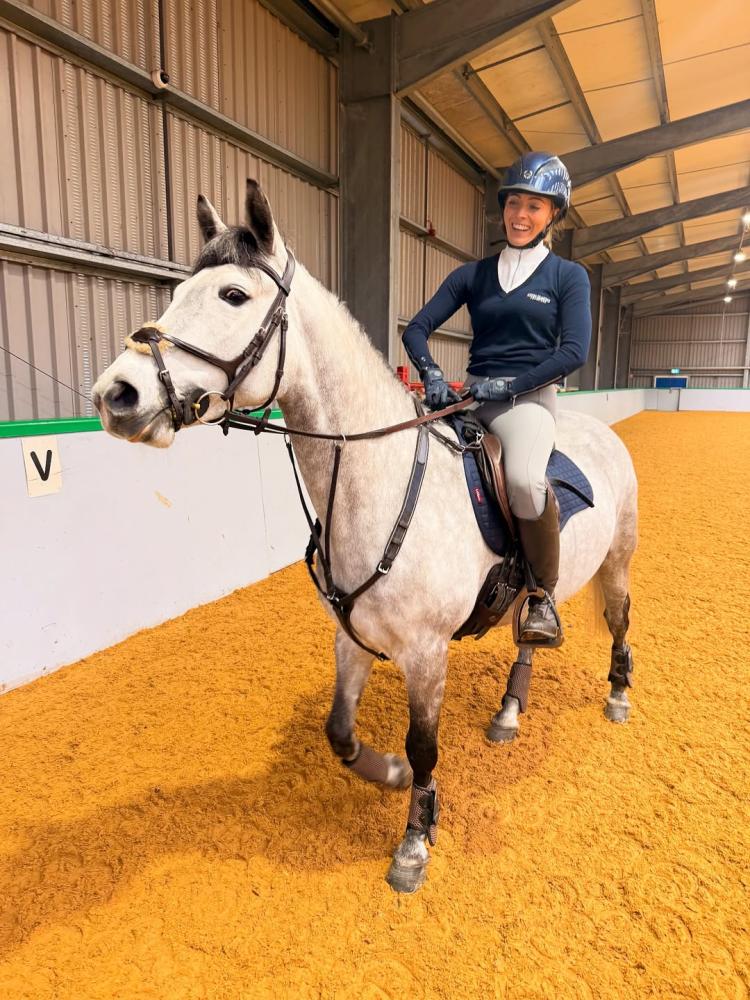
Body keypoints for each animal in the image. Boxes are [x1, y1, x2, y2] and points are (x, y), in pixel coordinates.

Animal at [92, 180, 637, 893]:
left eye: (232, 295)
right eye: (179, 290)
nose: (116, 394)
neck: (372, 482)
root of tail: (597, 430)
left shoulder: (426, 653)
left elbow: (424, 745)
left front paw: (414, 844)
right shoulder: (349, 637)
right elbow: (340, 734)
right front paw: (391, 776)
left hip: (618, 561)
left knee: (619, 620)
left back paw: (619, 696)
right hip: (531, 593)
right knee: (528, 637)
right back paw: (508, 713)